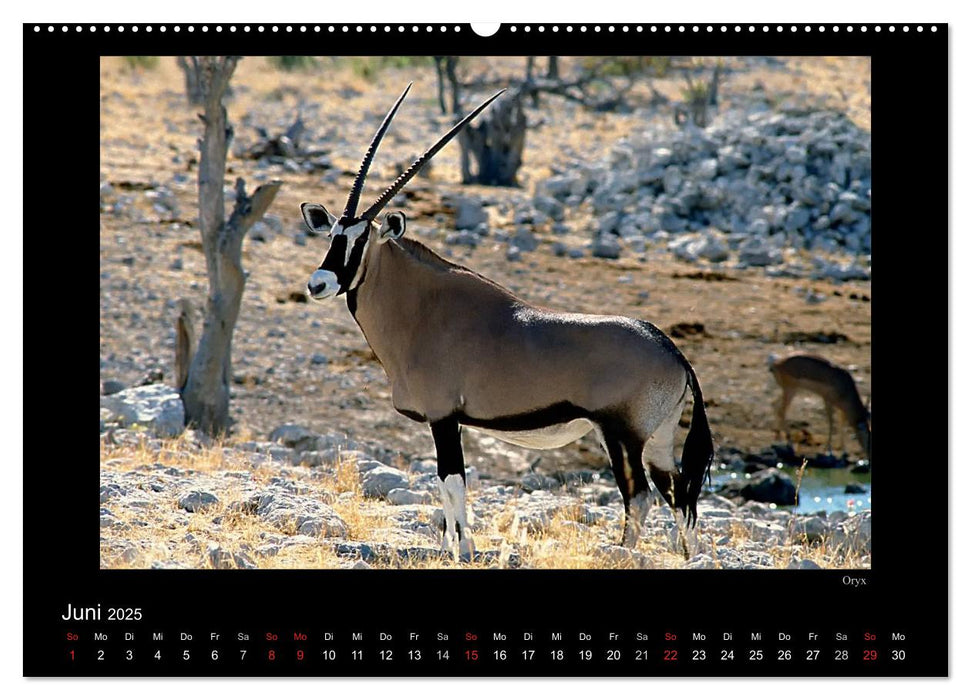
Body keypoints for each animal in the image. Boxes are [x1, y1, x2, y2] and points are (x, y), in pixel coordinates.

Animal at [302, 86, 712, 556]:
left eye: (360, 241)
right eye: (332, 235)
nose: (318, 284)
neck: (422, 309)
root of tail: (672, 352)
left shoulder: (444, 417)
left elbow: (453, 483)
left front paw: (464, 551)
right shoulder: (447, 421)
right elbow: (443, 487)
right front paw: (450, 548)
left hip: (623, 435)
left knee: (639, 497)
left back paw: (622, 553)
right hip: (657, 440)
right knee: (680, 496)